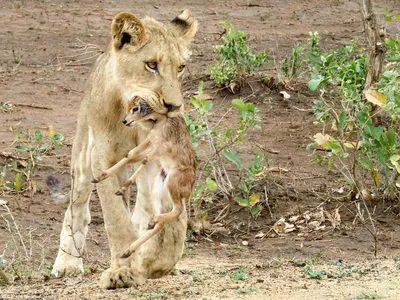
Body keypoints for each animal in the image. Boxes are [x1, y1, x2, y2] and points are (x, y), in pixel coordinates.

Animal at [91, 95, 197, 258]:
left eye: (135, 108)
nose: (125, 120)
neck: (162, 121)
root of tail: (189, 189)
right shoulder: (151, 141)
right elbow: (130, 155)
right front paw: (100, 177)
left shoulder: (160, 147)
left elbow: (144, 160)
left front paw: (122, 187)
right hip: (157, 190)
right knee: (160, 224)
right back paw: (128, 250)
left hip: (172, 184)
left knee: (177, 210)